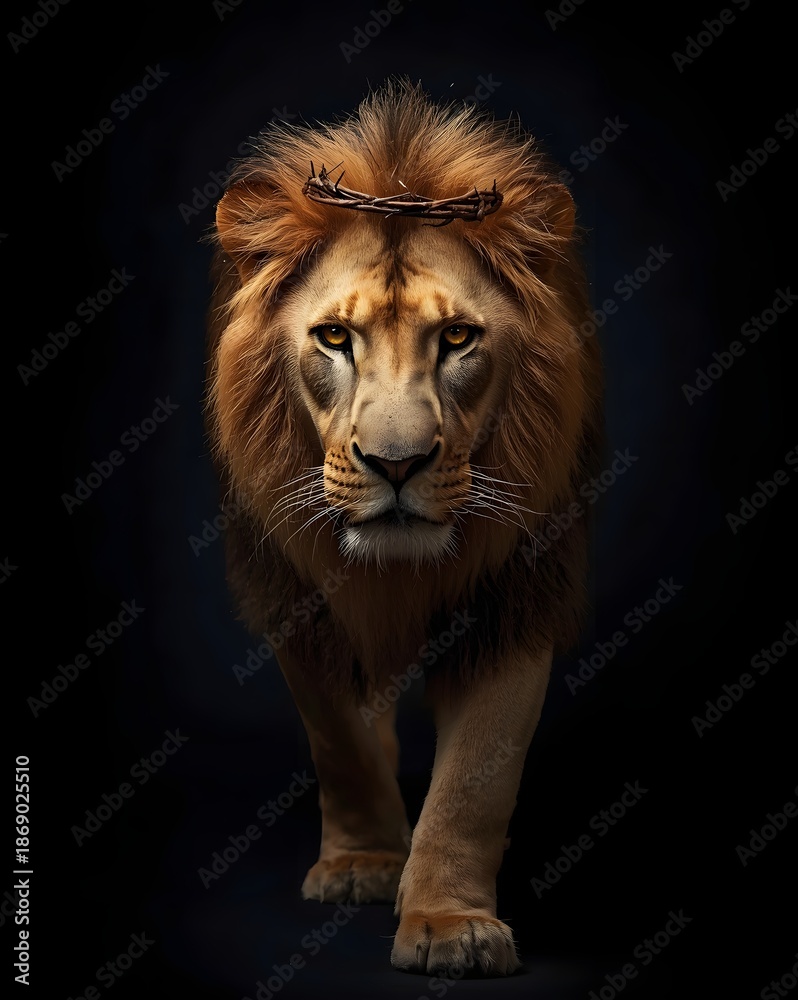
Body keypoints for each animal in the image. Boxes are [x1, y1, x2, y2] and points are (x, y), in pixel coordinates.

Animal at [205, 79, 602, 976]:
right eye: (333, 337)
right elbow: (341, 743)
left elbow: (474, 782)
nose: (397, 464)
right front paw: (364, 864)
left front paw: (449, 925)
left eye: (456, 337)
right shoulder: (299, 603)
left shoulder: (515, 600)